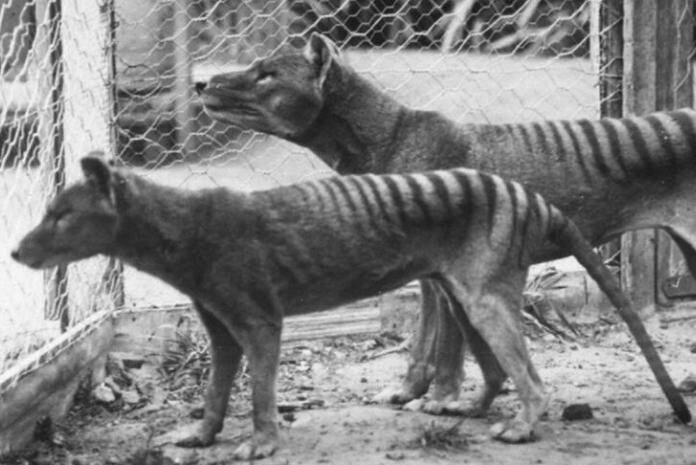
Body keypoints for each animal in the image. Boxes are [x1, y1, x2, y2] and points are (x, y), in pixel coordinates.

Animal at [12, 154, 690, 460]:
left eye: (62, 214)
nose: (16, 250)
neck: (183, 229)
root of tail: (528, 195)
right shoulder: (219, 327)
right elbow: (214, 390)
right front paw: (202, 435)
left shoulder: (260, 320)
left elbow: (259, 392)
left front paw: (261, 442)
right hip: (462, 295)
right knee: (498, 370)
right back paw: (468, 408)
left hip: (484, 297)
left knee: (531, 377)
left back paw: (523, 426)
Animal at [196, 32, 696, 414]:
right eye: (256, 66)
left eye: (267, 74)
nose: (200, 82)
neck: (389, 138)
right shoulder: (429, 270)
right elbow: (423, 344)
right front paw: (407, 393)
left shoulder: (446, 268)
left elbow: (445, 345)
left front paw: (440, 399)